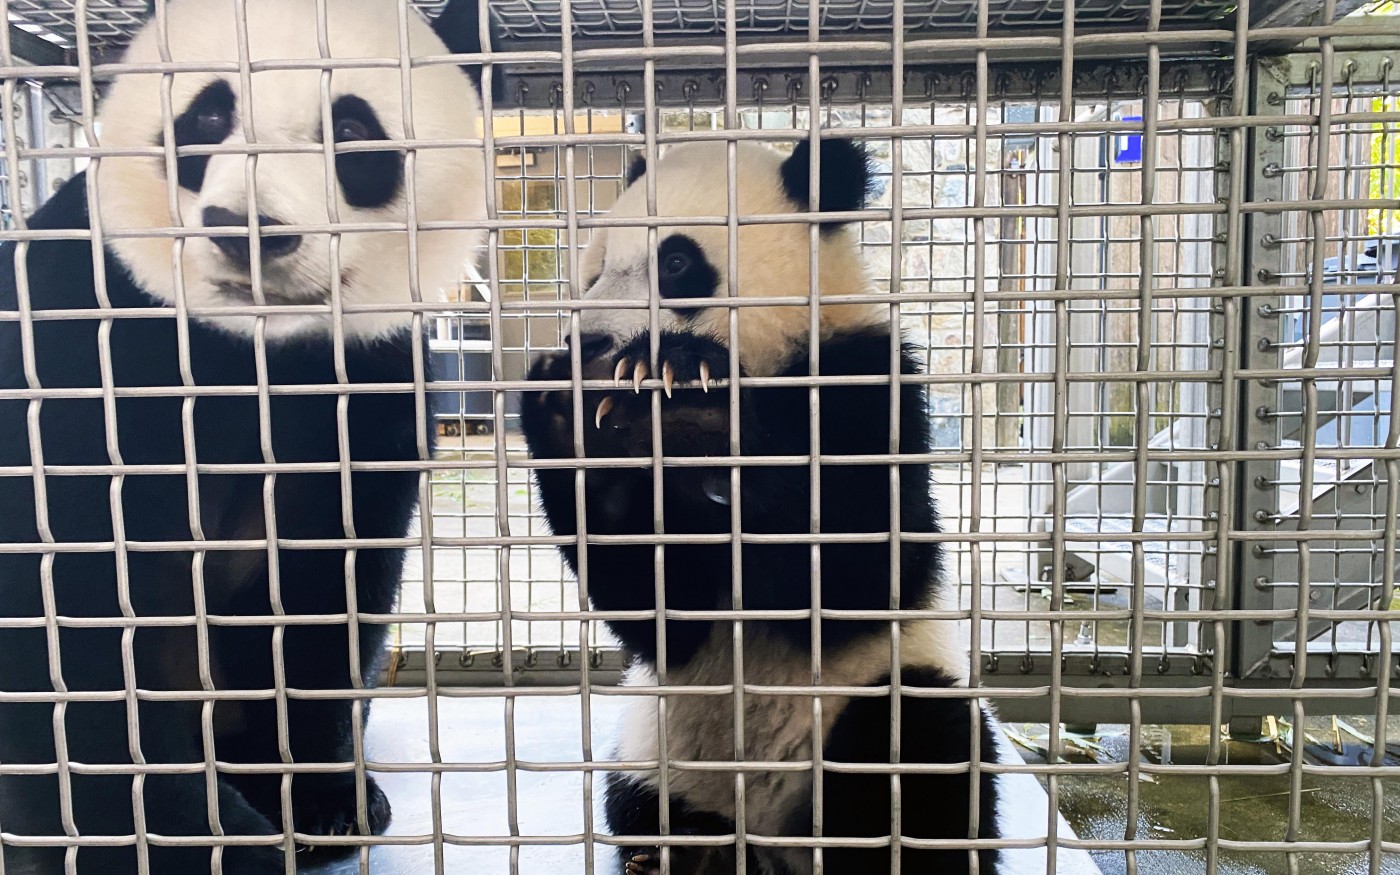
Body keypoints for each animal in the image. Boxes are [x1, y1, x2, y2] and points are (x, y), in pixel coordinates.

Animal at [0, 1, 487, 873]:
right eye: (207, 118)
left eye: (352, 129)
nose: (246, 229)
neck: (248, 348)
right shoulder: (72, 338)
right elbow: (64, 623)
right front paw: (205, 841)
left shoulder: (363, 379)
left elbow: (329, 595)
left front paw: (325, 801)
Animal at [520, 140, 1002, 868]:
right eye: (595, 268)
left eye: (677, 263)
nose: (590, 345)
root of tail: (777, 844)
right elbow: (662, 613)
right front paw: (573, 417)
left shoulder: (864, 380)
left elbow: (858, 572)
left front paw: (689, 389)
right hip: (656, 753)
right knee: (640, 801)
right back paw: (684, 857)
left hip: (873, 707)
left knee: (921, 751)